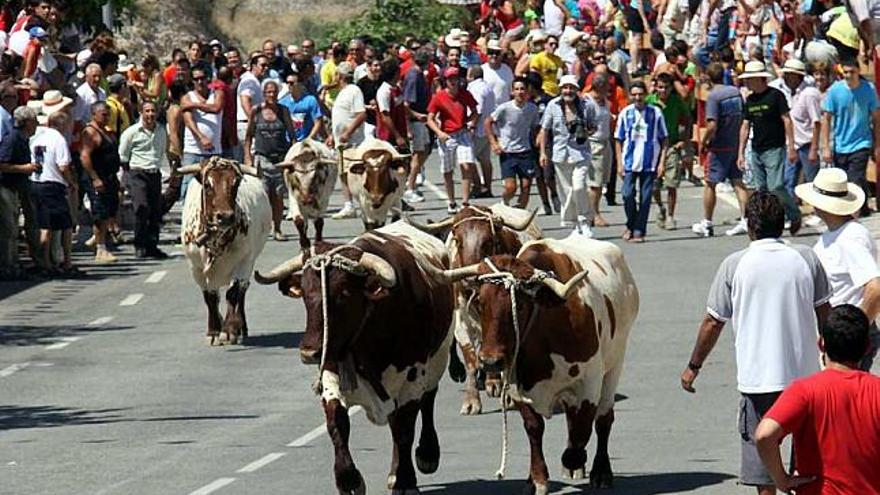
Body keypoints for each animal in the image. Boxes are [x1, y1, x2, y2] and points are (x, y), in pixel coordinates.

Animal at [178, 157, 272, 346]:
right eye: (207, 184)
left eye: (235, 183)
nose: (226, 216)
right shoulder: (196, 268)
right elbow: (210, 297)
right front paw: (214, 330)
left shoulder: (244, 261)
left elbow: (233, 293)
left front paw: (228, 330)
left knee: (241, 292)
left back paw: (240, 327)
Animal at [408, 203, 544, 416]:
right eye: (457, 239)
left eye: (488, 240)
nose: (469, 278)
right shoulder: (461, 319)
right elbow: (471, 359)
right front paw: (471, 401)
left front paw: (505, 393)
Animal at [422, 236, 636, 495]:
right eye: (481, 303)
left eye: (521, 305)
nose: (490, 360)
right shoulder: (517, 385)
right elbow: (535, 428)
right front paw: (536, 479)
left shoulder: (589, 381)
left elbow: (582, 429)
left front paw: (573, 461)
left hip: (615, 363)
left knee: (603, 419)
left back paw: (600, 472)